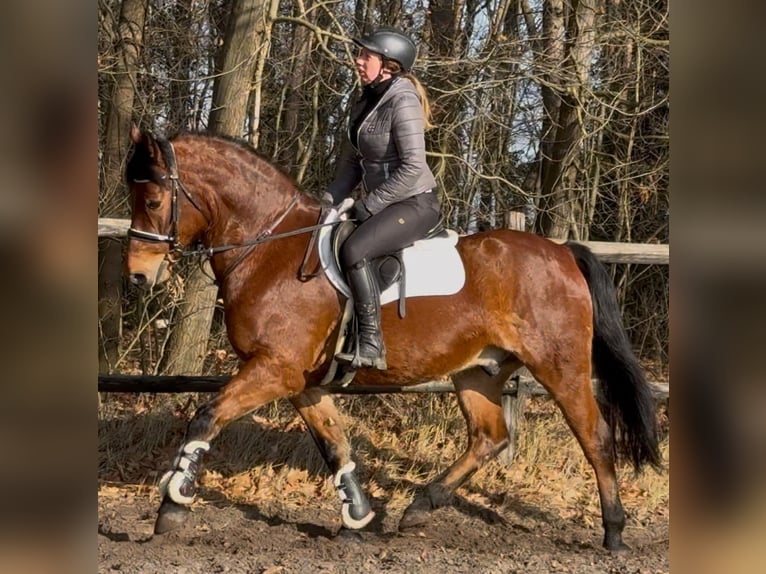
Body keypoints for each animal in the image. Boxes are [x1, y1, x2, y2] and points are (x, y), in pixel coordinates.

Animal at [123, 127, 664, 552]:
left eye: (152, 201)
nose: (137, 277)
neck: (270, 249)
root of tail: (562, 252)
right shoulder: (301, 382)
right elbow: (335, 445)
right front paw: (358, 517)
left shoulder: (273, 368)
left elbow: (206, 416)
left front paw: (173, 505)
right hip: (478, 371)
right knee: (490, 436)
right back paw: (421, 506)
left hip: (560, 365)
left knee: (595, 437)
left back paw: (614, 533)